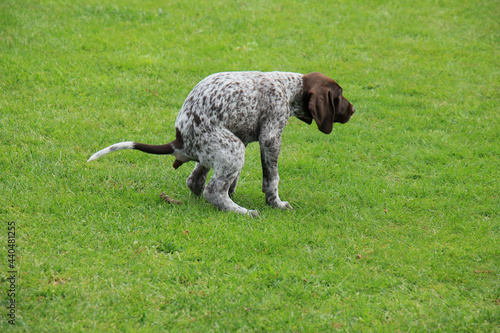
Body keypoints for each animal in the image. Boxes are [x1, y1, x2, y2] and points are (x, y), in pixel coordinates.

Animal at [90, 71, 356, 215]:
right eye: (339, 96)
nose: (353, 110)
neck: (288, 88)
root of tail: (180, 140)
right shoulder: (270, 138)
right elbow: (271, 179)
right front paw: (276, 204)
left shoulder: (245, 137)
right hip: (233, 148)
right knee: (212, 190)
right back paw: (242, 212)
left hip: (223, 148)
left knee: (196, 181)